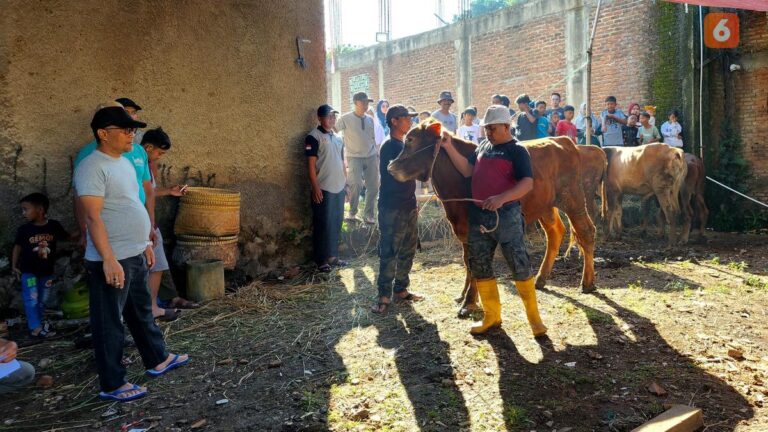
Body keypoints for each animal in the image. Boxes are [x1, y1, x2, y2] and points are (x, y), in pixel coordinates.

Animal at [388, 120, 596, 318]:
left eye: (411, 139)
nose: (391, 167)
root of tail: (563, 140)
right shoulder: (462, 230)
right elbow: (467, 262)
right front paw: (464, 295)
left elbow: (474, 264)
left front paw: (469, 303)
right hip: (545, 206)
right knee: (555, 232)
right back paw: (540, 279)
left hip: (573, 198)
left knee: (586, 231)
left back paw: (587, 282)